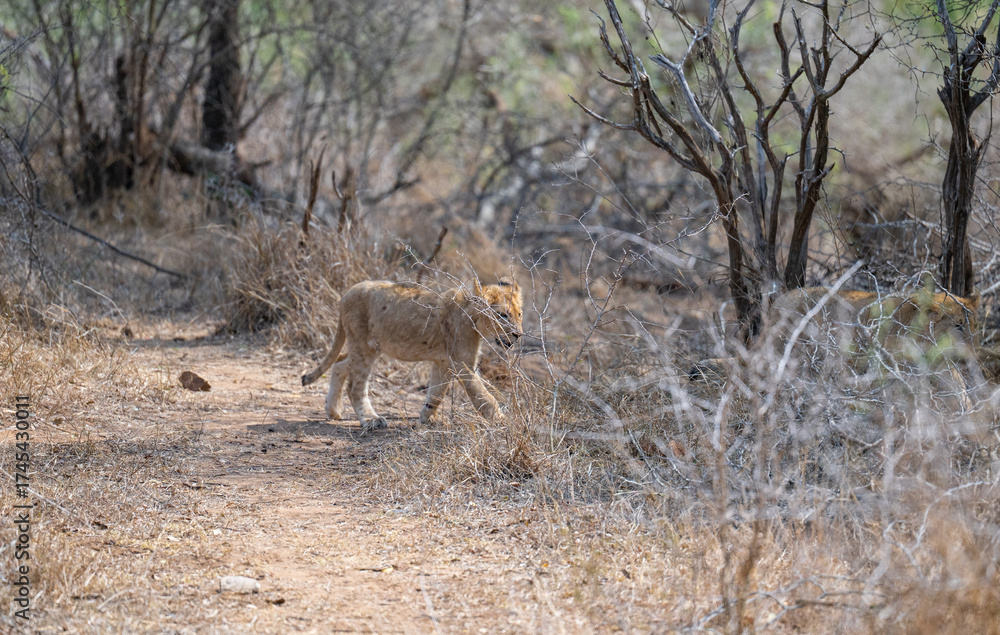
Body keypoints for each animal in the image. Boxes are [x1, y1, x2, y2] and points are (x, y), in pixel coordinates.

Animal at [302, 276, 523, 431]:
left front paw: (429, 418)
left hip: (370, 348)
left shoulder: (443, 362)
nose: (518, 334)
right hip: (363, 345)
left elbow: (436, 393)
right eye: (502, 315)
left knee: (339, 363)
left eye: (519, 314)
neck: (472, 316)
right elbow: (484, 396)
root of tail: (347, 294)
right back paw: (371, 419)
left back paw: (333, 410)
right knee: (355, 387)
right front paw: (503, 422)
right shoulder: (463, 364)